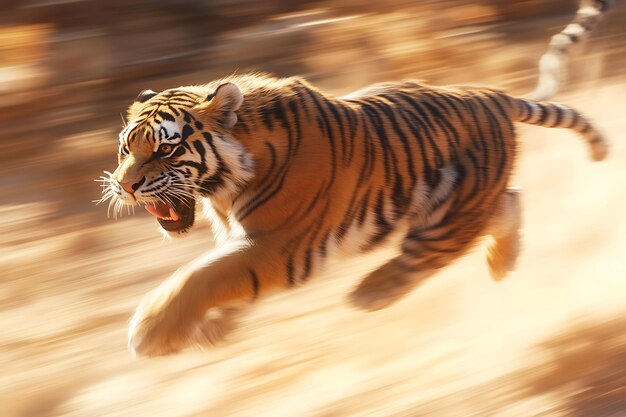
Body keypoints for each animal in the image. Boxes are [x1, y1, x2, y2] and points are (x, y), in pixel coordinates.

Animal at [97, 4, 608, 358]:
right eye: (126, 148)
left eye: (165, 149)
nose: (124, 186)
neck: (221, 191)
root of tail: (490, 94)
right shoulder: (245, 238)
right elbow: (220, 279)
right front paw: (210, 329)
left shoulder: (279, 244)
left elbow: (203, 276)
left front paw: (152, 332)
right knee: (510, 202)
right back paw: (503, 264)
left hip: (448, 211)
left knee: (438, 248)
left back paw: (372, 292)